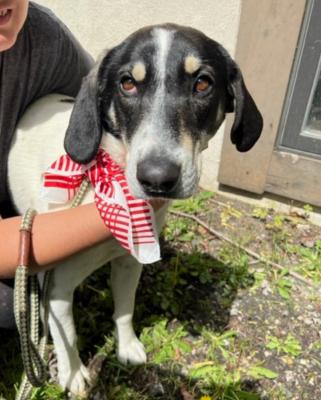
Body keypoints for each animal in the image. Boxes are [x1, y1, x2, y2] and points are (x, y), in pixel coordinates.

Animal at [8, 25, 262, 396]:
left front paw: (126, 347)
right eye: (127, 83)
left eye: (202, 83)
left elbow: (125, 310)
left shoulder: (130, 262)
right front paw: (73, 375)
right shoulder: (55, 288)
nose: (157, 178)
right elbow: (67, 335)